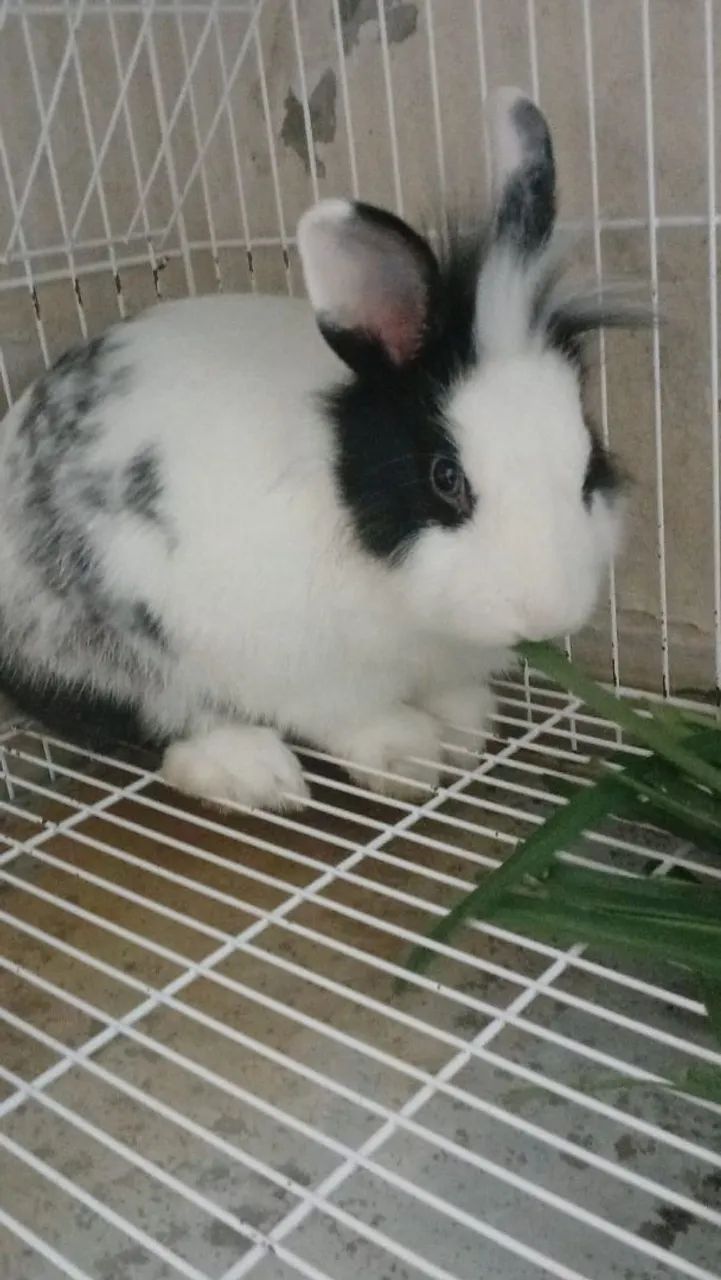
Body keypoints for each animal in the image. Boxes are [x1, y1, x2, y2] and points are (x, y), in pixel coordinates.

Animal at [0, 88, 631, 812]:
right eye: (445, 477)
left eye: (588, 463)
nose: (545, 612)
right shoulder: (303, 673)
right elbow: (351, 718)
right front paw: (408, 756)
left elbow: (453, 699)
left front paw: (466, 731)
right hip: (103, 650)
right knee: (154, 721)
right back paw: (256, 773)